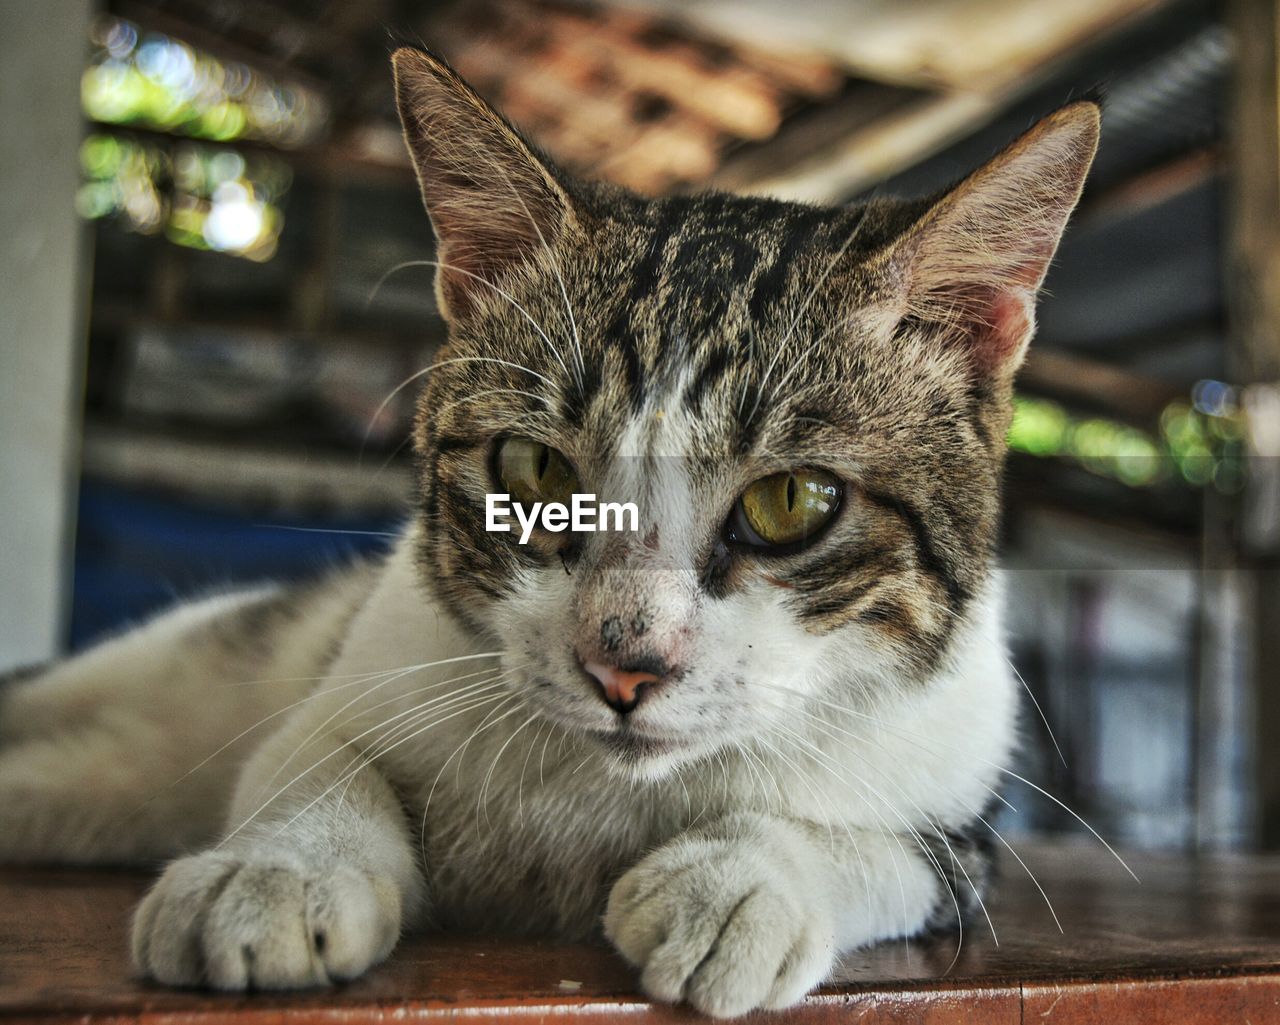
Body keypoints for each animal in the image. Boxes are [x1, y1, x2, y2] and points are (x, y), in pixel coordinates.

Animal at [0, 47, 1100, 1013]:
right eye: (534, 472)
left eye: (791, 501)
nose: (626, 664)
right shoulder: (355, 668)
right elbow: (315, 751)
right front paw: (279, 866)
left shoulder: (968, 816)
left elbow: (901, 846)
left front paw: (746, 875)